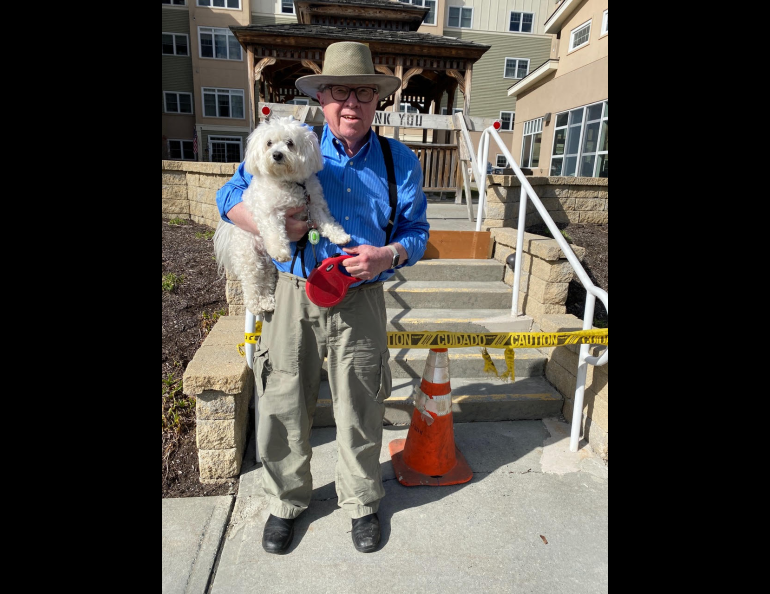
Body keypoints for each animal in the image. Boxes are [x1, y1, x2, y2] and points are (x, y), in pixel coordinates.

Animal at [213, 113, 352, 312]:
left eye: (290, 143)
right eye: (269, 143)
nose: (277, 154)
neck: (288, 182)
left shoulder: (314, 205)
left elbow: (327, 221)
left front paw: (340, 236)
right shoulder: (268, 213)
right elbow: (274, 232)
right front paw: (281, 250)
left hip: (267, 263)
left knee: (266, 279)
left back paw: (267, 301)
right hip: (249, 256)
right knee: (251, 282)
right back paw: (255, 305)